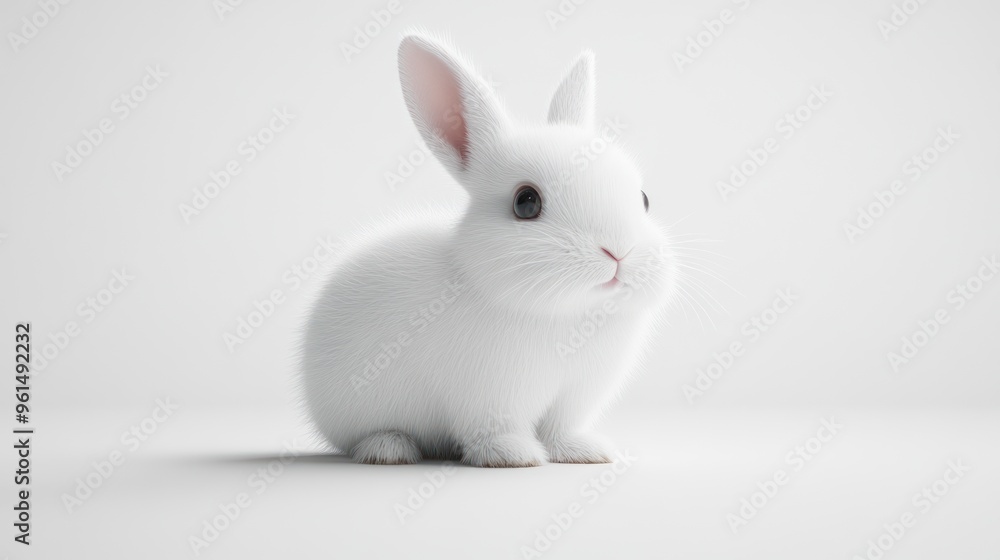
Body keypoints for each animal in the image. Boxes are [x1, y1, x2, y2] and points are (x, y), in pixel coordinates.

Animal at [299, 32, 677, 467]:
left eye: (644, 199)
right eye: (526, 203)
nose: (618, 252)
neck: (567, 315)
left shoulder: (573, 398)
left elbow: (561, 430)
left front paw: (585, 452)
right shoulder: (489, 398)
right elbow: (493, 431)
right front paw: (515, 456)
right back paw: (389, 448)